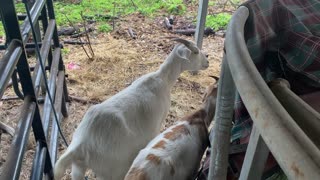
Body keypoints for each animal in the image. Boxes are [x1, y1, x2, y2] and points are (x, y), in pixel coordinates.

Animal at [53, 37, 209, 179]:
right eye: (195, 51)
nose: (207, 61)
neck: (162, 79)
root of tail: (80, 145)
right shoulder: (155, 126)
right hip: (111, 170)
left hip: (78, 168)